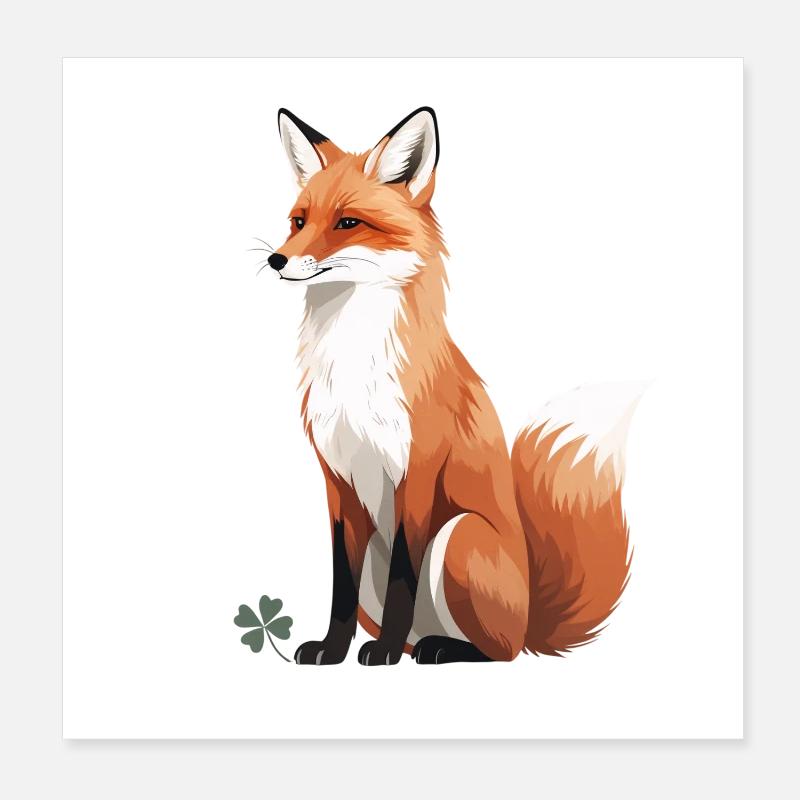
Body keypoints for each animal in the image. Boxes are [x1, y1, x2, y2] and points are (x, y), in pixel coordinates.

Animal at [264, 106, 644, 665]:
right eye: (298, 221)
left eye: (348, 223)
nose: (277, 260)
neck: (353, 367)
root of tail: (531, 619)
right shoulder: (337, 481)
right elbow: (340, 584)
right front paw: (331, 650)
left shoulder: (417, 471)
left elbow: (404, 575)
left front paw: (381, 655)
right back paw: (410, 646)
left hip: (458, 535)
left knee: (498, 650)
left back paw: (433, 649)